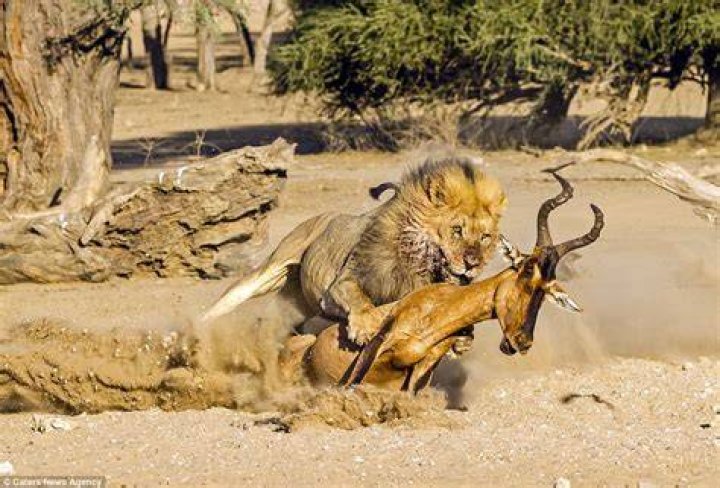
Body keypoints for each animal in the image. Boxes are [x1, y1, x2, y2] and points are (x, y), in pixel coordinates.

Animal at [200, 156, 507, 344]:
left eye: (485, 237)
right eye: (456, 230)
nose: (472, 263)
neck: (416, 264)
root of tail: (325, 215)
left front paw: (463, 340)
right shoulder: (340, 284)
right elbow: (360, 299)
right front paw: (364, 327)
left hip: (296, 302)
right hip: (270, 268)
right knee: (224, 303)